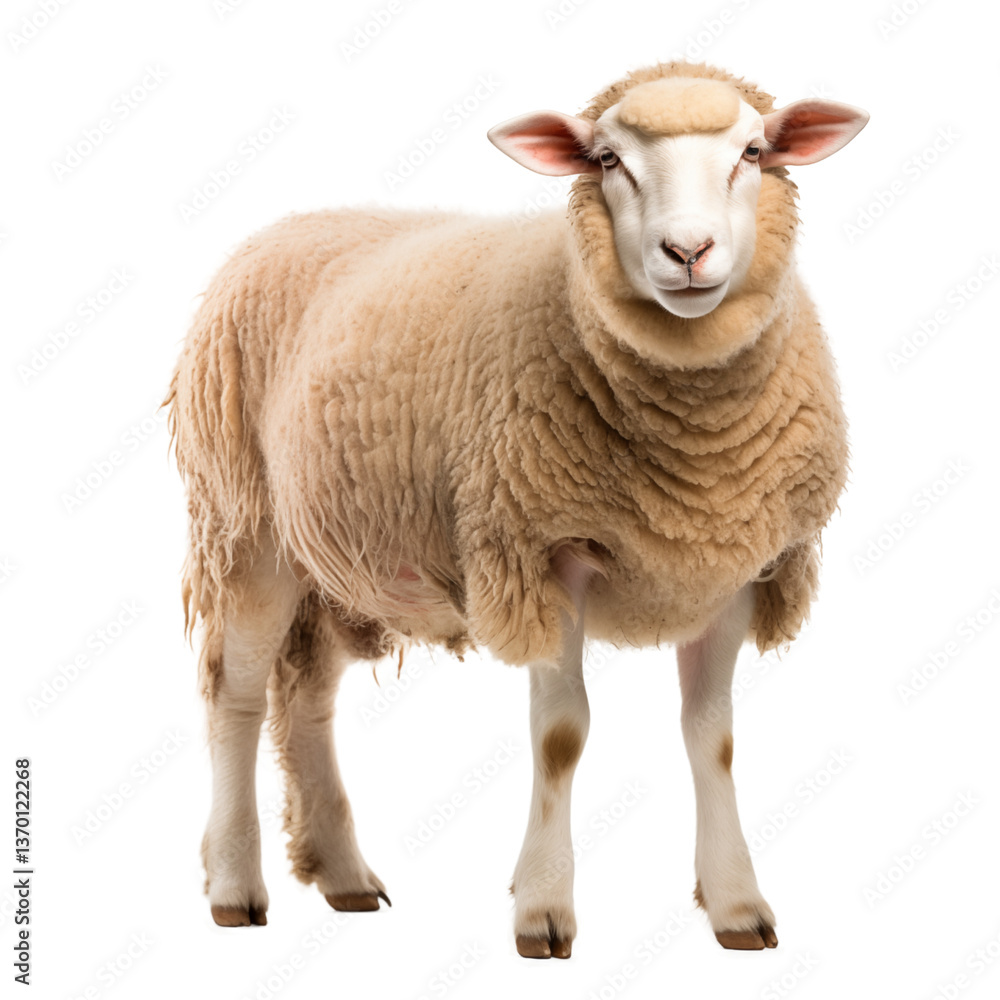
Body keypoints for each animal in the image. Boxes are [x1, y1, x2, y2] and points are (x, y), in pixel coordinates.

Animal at [166, 60, 868, 958]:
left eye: (752, 152)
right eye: (607, 160)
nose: (688, 252)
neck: (693, 457)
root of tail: (281, 228)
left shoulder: (738, 566)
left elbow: (713, 738)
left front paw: (737, 904)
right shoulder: (543, 548)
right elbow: (562, 735)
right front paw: (542, 909)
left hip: (330, 553)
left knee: (307, 696)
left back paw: (344, 873)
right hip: (245, 522)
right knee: (237, 694)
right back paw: (233, 884)